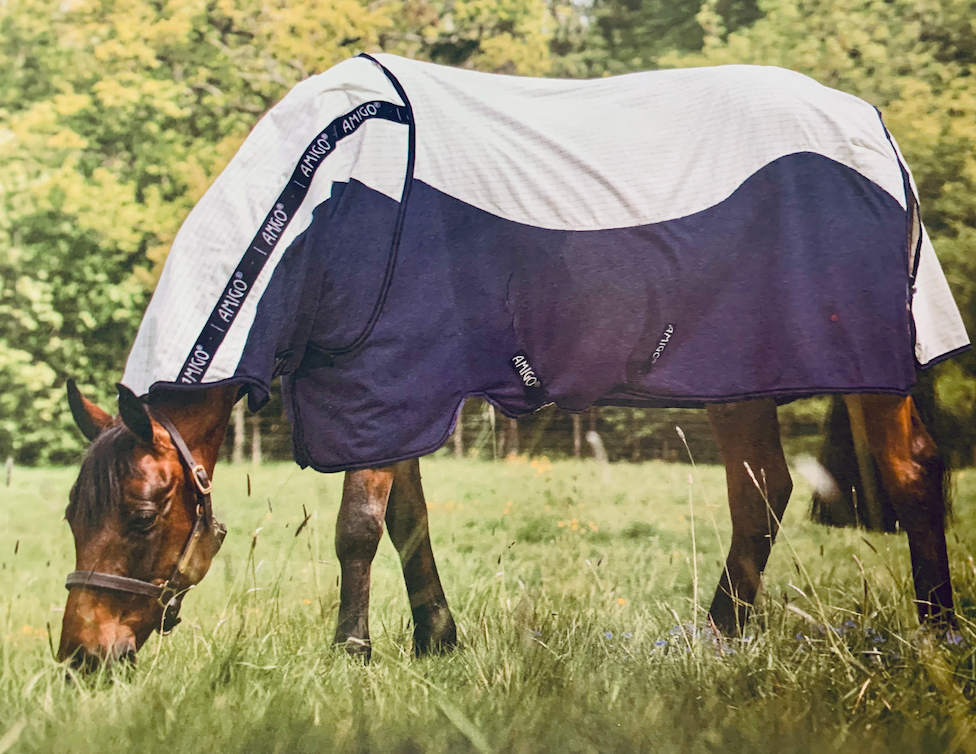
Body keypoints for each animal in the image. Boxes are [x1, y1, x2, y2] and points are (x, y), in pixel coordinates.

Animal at [56, 53, 967, 667]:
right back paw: (717, 638)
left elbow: (357, 530)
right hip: (738, 375)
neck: (327, 202)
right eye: (72, 515)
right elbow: (406, 522)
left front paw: (352, 652)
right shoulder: (388, 394)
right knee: (762, 494)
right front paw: (435, 641)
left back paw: (939, 635)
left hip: (857, 373)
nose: (80, 656)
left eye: (142, 514)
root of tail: (874, 130)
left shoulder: (387, 381)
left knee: (911, 470)